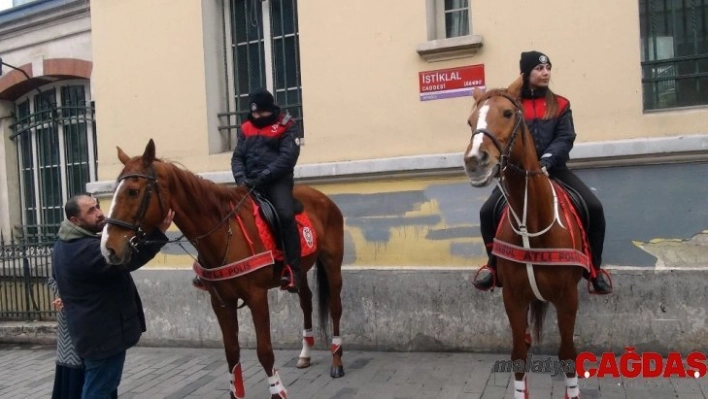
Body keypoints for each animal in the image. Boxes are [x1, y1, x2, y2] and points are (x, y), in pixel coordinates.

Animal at [99, 139, 346, 398]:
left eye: (133, 191)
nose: (108, 248)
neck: (225, 233)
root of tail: (324, 198)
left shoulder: (257, 297)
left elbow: (265, 351)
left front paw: (277, 391)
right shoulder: (220, 301)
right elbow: (231, 352)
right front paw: (235, 392)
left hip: (332, 264)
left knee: (335, 309)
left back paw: (336, 361)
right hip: (300, 271)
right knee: (306, 301)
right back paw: (305, 353)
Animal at [460, 76, 588, 398]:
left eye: (507, 113)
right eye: (470, 121)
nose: (474, 161)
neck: (532, 222)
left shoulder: (568, 298)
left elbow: (568, 355)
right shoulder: (513, 297)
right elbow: (519, 354)